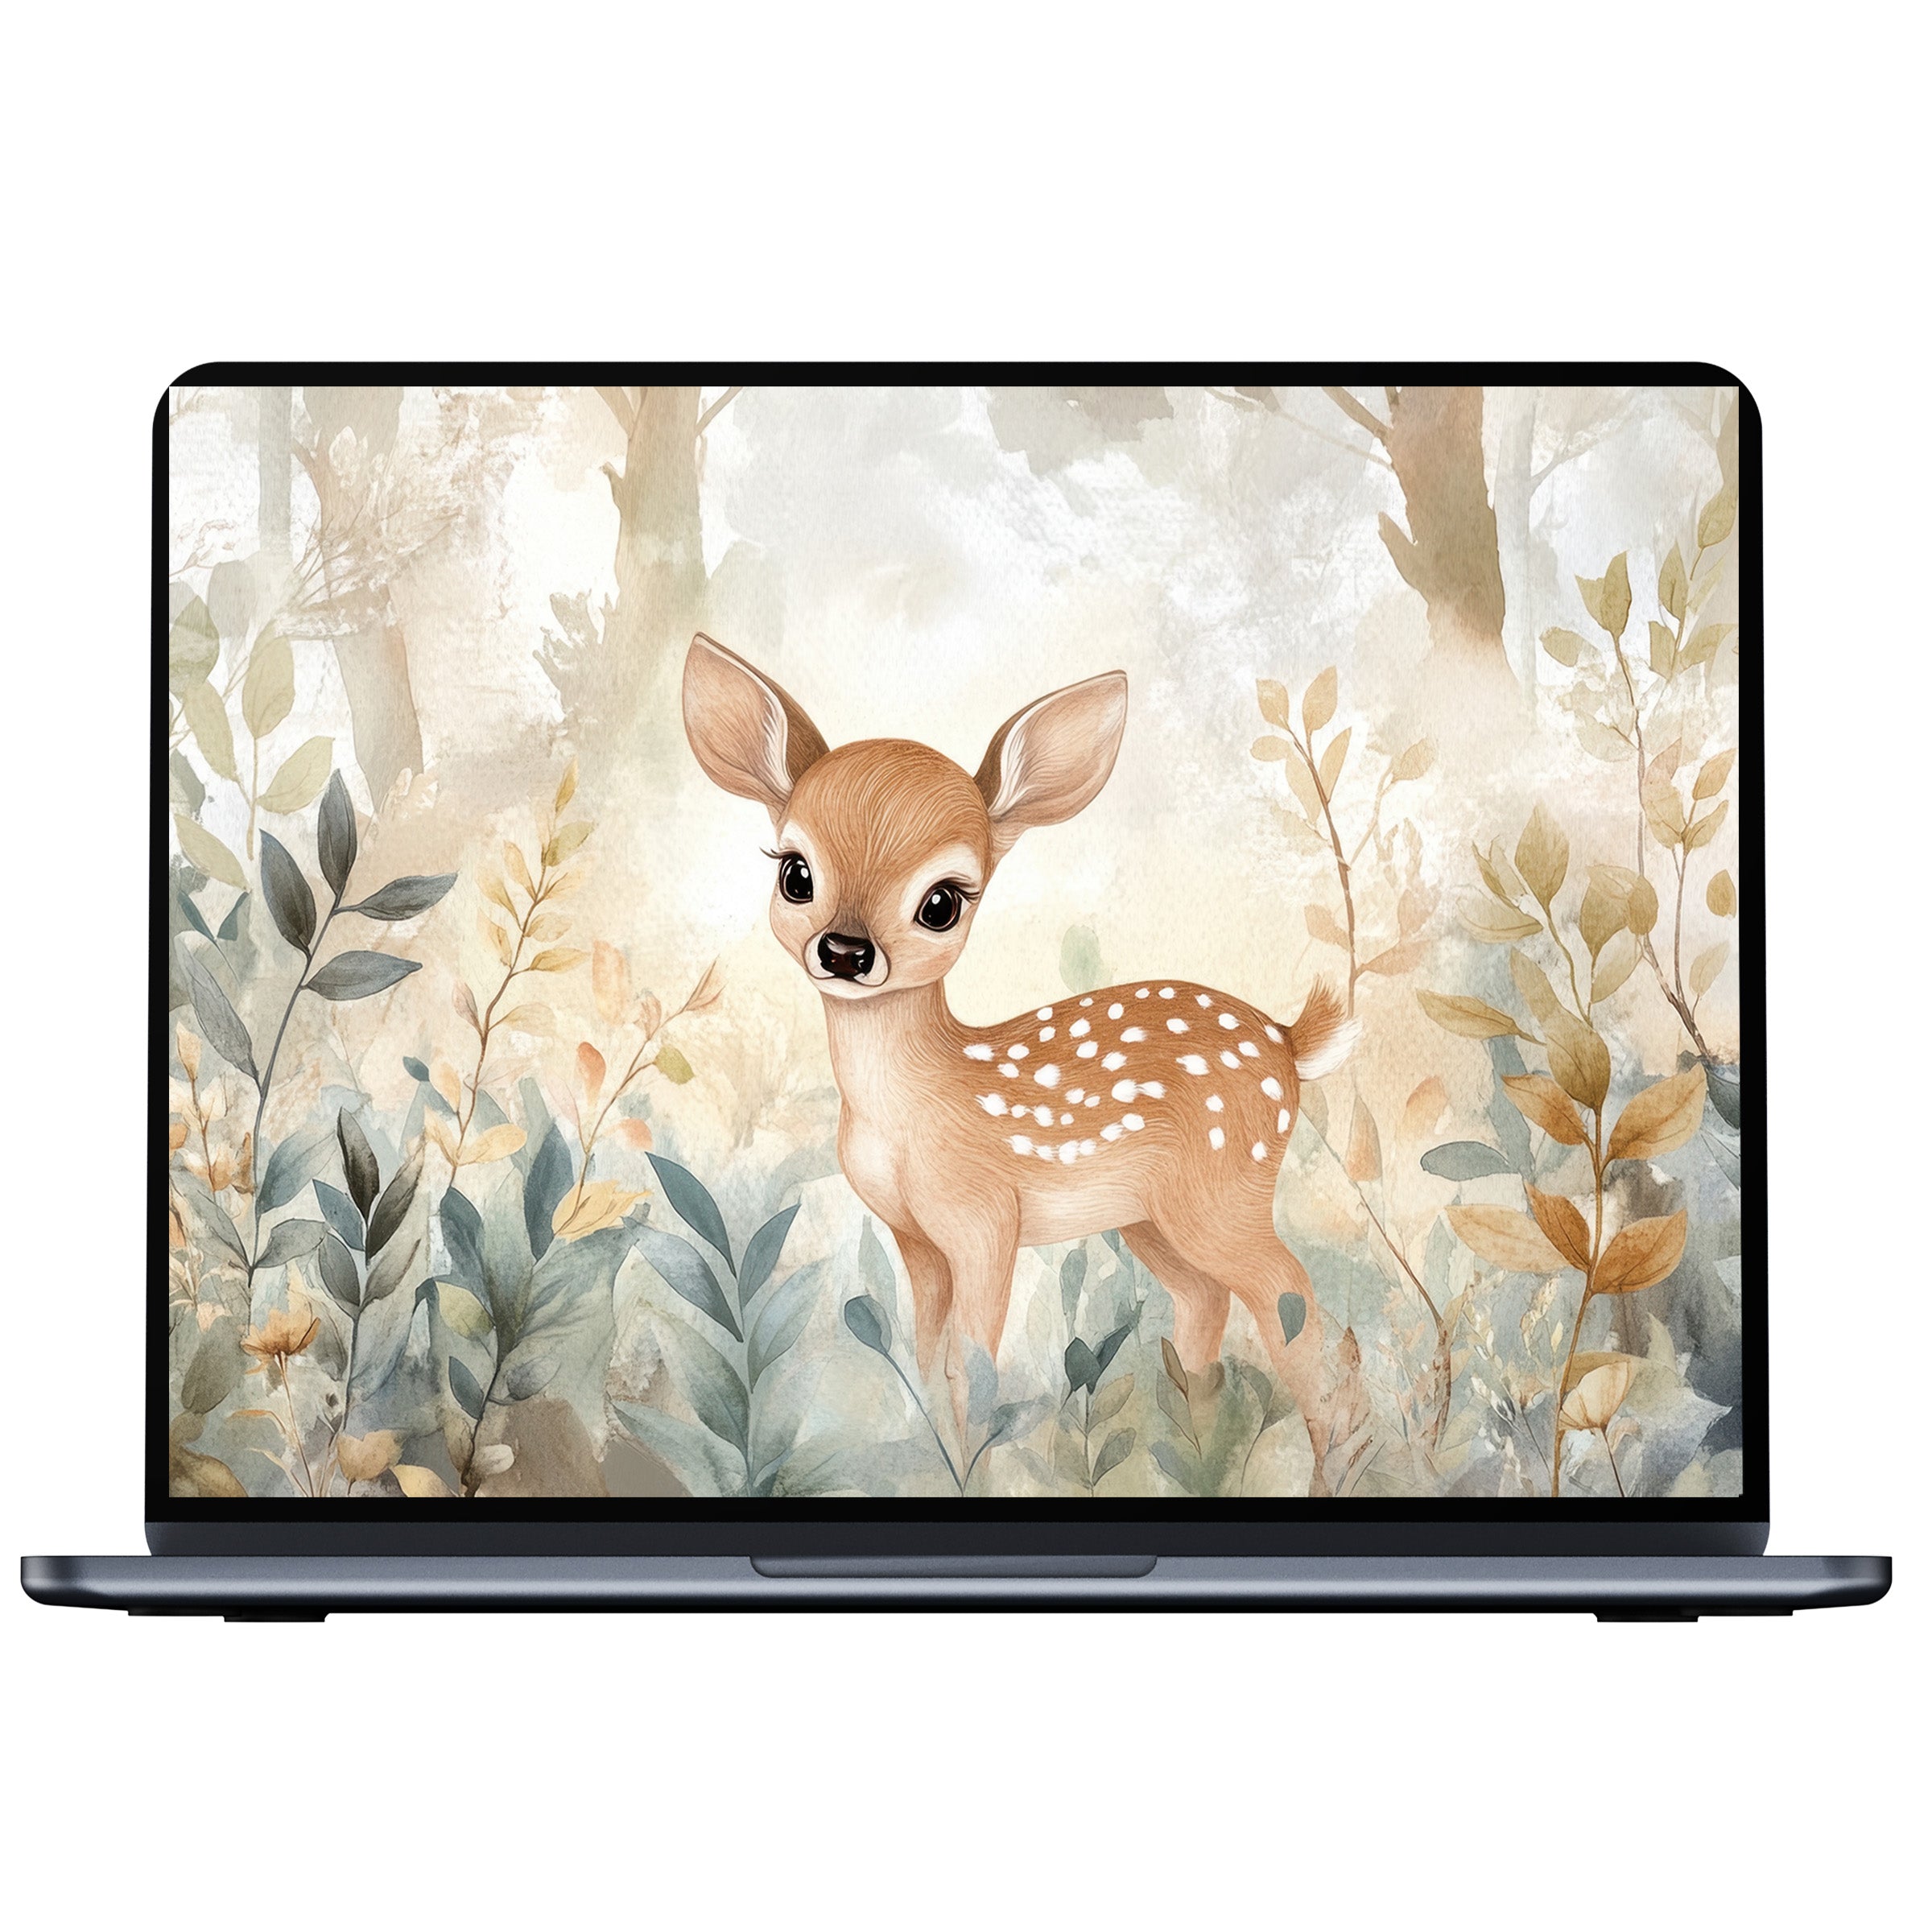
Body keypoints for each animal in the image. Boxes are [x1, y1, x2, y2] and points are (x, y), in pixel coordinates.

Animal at [681, 632, 1360, 1492]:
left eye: (943, 901)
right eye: (795, 873)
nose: (845, 950)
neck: (915, 1106)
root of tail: (1288, 1039)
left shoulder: (985, 1219)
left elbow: (972, 1370)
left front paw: (975, 1468)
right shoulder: (915, 1235)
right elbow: (926, 1358)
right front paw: (938, 1461)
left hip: (1222, 1189)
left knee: (1297, 1305)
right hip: (1151, 1216)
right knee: (1209, 1304)